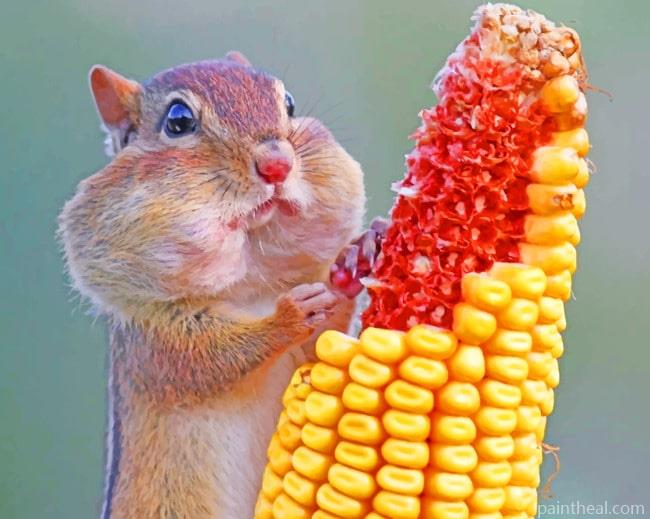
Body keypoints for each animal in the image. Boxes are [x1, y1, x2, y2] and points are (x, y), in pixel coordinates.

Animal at [59, 51, 379, 519]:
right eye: (178, 121)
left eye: (289, 103)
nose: (277, 163)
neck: (248, 288)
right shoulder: (155, 343)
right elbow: (212, 360)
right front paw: (287, 317)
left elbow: (321, 346)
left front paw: (358, 255)